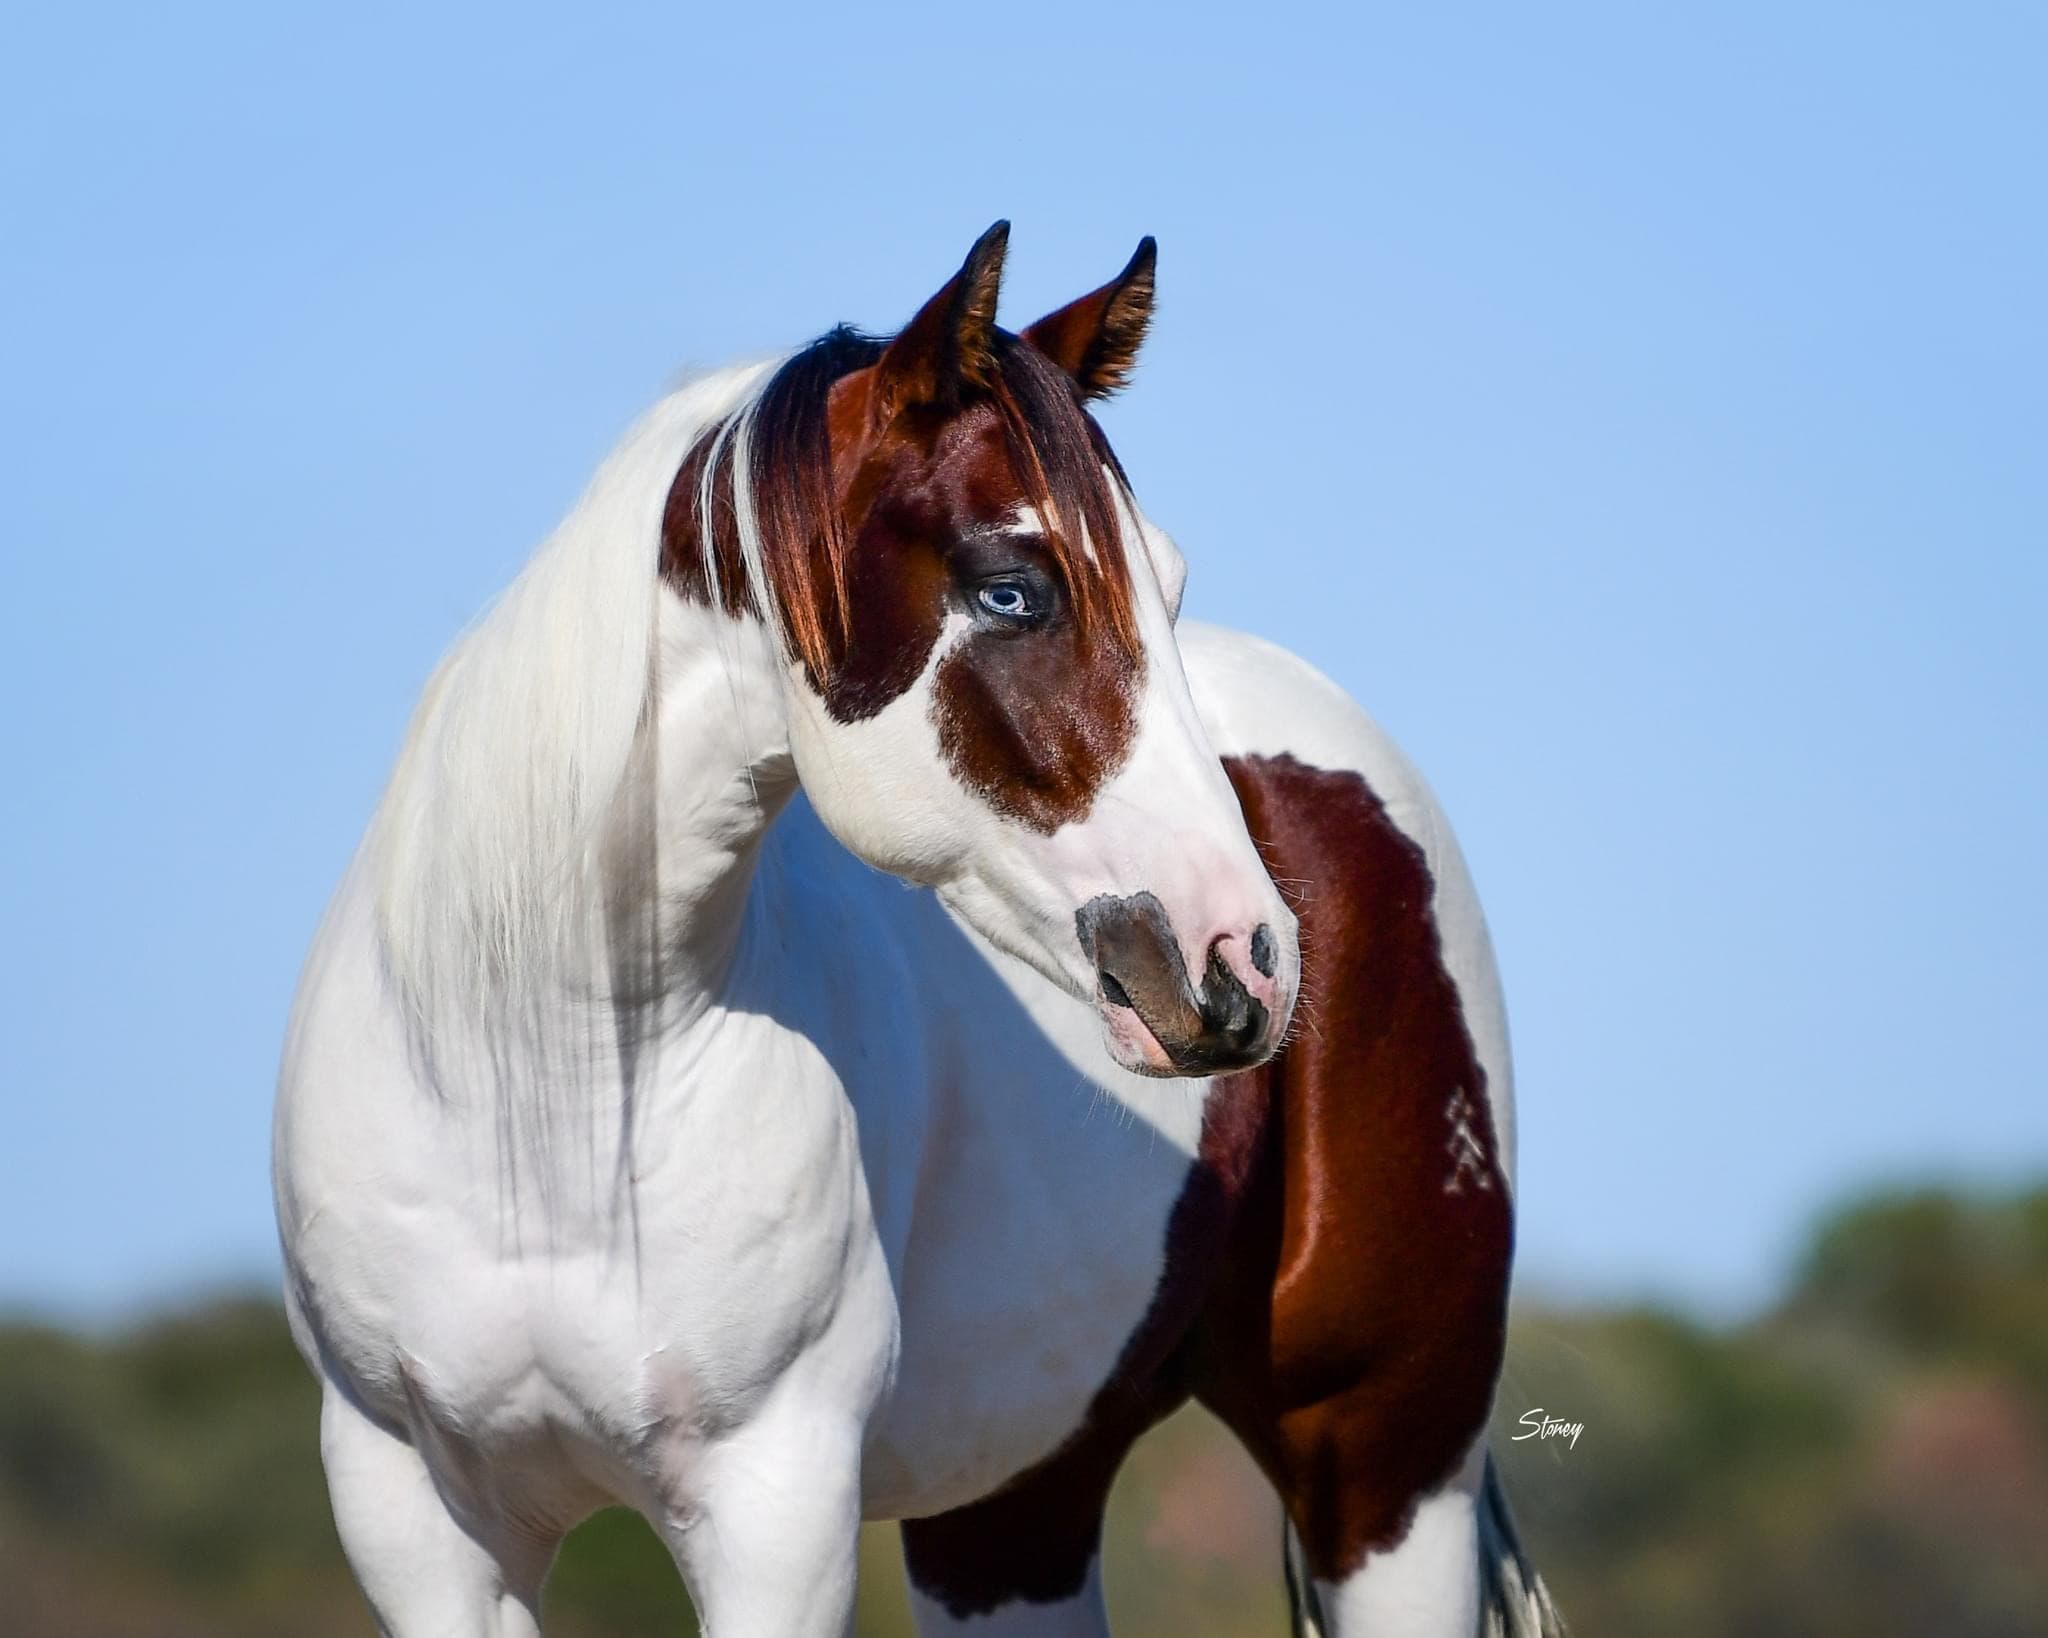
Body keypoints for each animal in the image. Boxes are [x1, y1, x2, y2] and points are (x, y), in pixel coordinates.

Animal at [274, 222, 1563, 1638]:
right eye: (1009, 590)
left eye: (1165, 578)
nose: (1242, 963)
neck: (546, 1100)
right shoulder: (421, 1523)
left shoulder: (772, 1513)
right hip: (1011, 1512)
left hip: (1386, 1477)